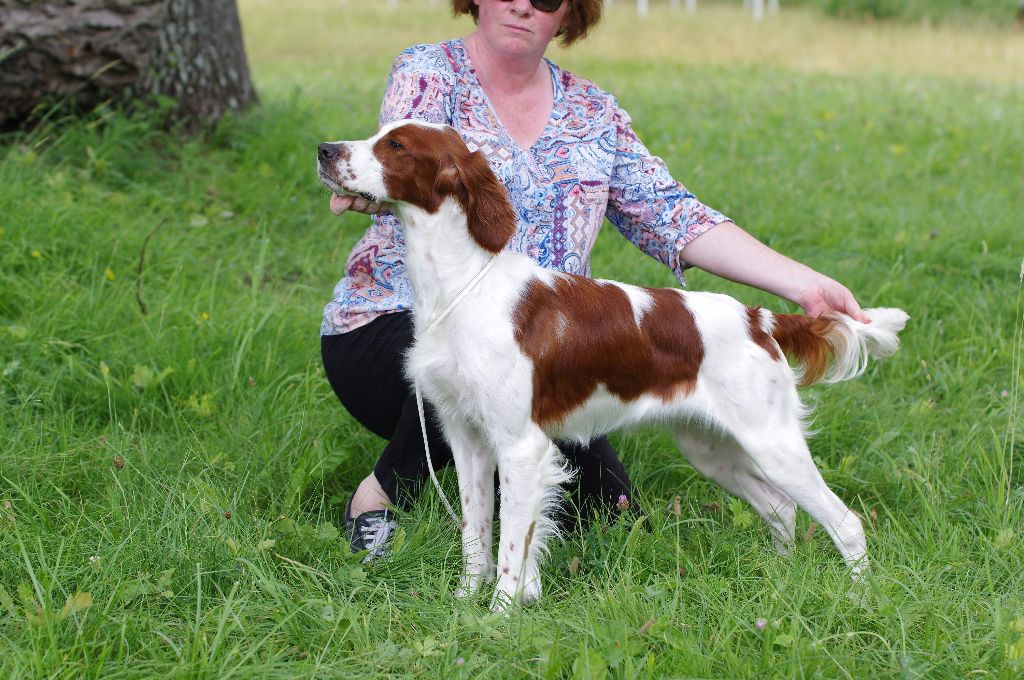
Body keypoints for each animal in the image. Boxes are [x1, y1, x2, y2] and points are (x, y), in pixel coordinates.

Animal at [315, 119, 909, 606]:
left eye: (394, 145)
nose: (323, 150)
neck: (461, 286)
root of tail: (758, 318)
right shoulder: (467, 440)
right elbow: (476, 534)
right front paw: (465, 602)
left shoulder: (521, 446)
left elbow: (511, 549)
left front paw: (500, 616)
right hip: (711, 447)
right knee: (782, 509)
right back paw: (780, 577)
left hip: (772, 443)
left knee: (846, 521)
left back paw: (859, 599)